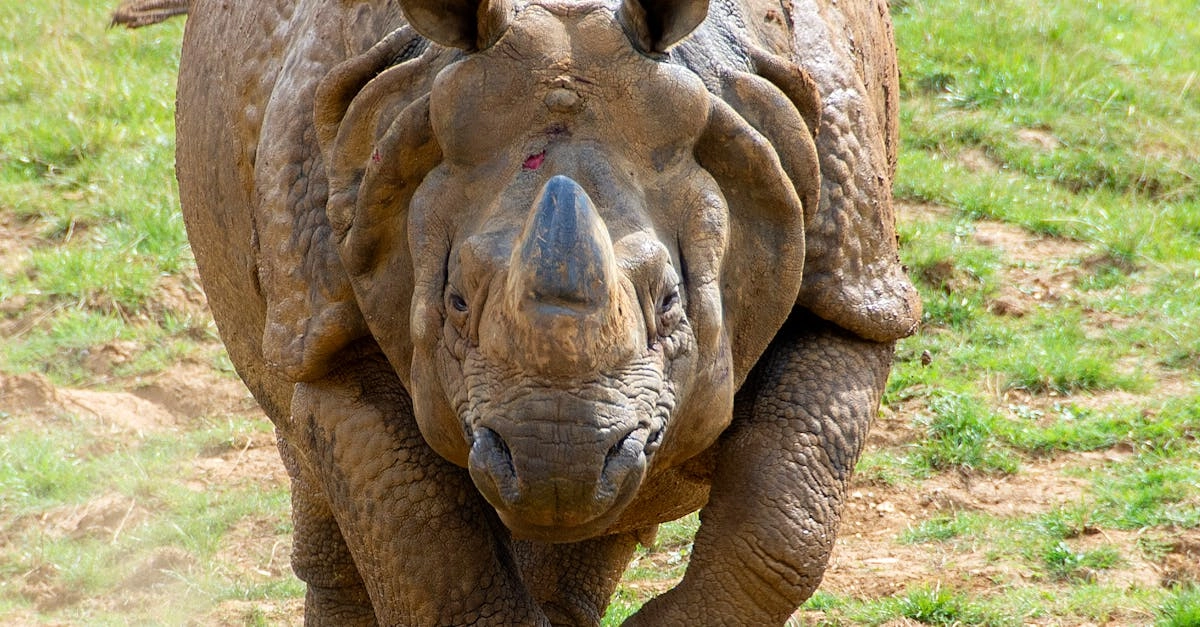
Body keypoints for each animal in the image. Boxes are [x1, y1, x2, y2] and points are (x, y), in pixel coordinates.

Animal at [175, 0, 920, 623]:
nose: (556, 457)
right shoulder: (327, 318)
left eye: (670, 301)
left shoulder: (853, 281)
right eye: (455, 301)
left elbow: (785, 525)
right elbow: (427, 553)